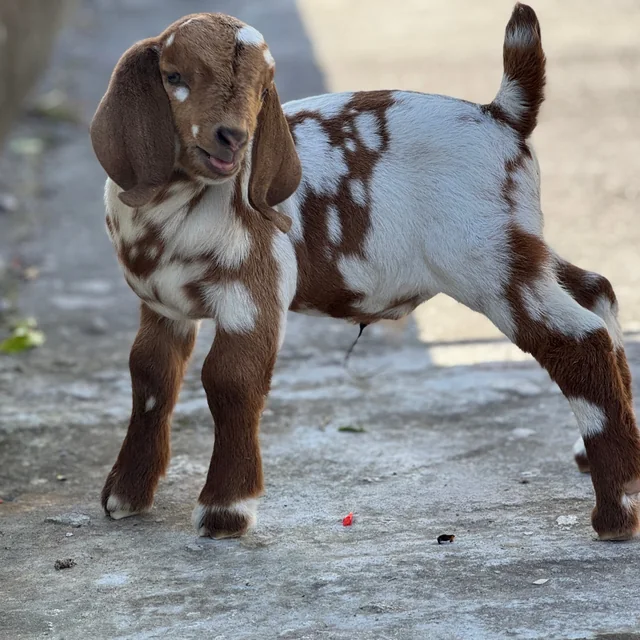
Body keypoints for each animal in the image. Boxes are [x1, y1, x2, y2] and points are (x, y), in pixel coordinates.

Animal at [90, 4, 640, 541]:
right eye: (174, 75)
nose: (234, 138)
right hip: (518, 243)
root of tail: (501, 114)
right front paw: (126, 496)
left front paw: (225, 512)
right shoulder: (161, 305)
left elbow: (229, 379)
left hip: (487, 260)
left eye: (263, 88)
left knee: (579, 339)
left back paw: (617, 510)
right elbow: (150, 373)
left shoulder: (254, 290)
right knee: (597, 291)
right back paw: (616, 461)